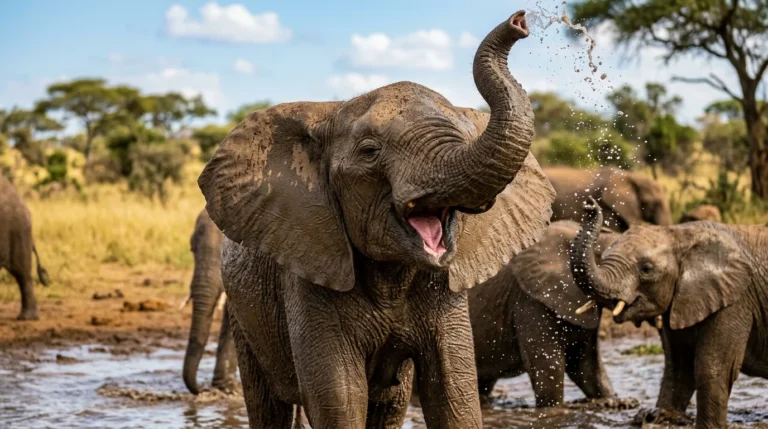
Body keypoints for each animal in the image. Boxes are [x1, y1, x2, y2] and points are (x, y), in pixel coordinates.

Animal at [197, 11, 555, 429]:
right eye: (370, 151)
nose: (520, 21)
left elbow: (454, 395)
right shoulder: (310, 267)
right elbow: (340, 399)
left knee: (390, 403)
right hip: (244, 312)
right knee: (267, 403)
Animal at [570, 197, 768, 429]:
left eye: (646, 269)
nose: (590, 205)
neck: (680, 235)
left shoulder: (735, 300)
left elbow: (712, 369)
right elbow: (678, 369)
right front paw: (657, 416)